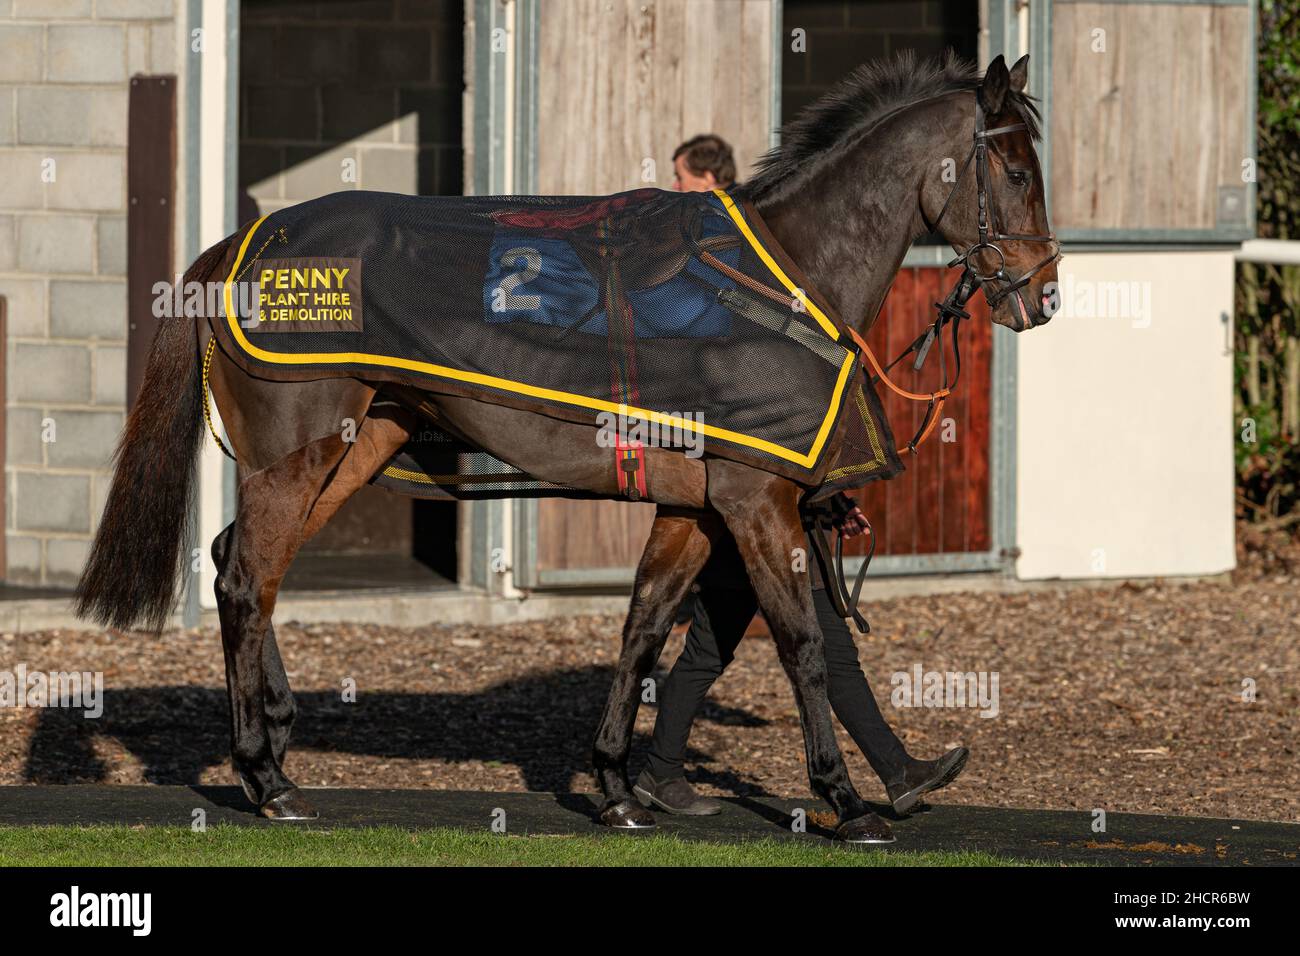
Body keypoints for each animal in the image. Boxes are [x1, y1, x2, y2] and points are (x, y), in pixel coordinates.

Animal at [76, 54, 1060, 842]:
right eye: (1015, 169)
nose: (1044, 296)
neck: (782, 282)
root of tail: (246, 246)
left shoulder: (694, 508)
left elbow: (644, 632)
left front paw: (620, 787)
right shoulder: (756, 501)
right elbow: (804, 642)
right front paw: (846, 802)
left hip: (358, 447)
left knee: (240, 565)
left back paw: (279, 741)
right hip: (297, 454)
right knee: (248, 581)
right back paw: (266, 776)